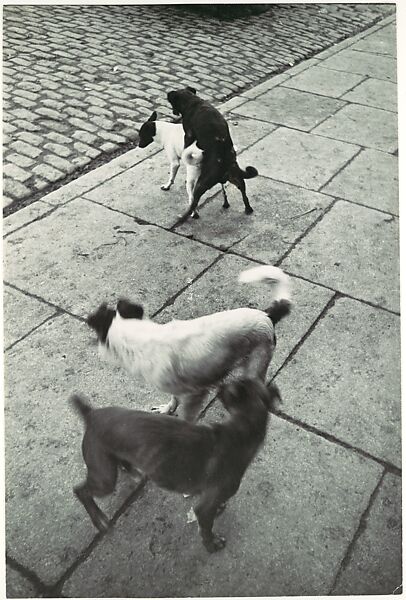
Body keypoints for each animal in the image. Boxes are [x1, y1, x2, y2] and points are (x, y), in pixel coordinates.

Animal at [71, 380, 280, 552]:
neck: (239, 431)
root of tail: (91, 414)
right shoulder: (204, 508)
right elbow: (206, 528)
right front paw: (212, 545)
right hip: (105, 478)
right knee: (81, 491)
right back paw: (99, 519)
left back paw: (133, 472)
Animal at [87, 264, 290, 424]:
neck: (137, 337)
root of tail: (267, 315)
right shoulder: (177, 388)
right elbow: (174, 399)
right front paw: (168, 410)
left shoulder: (196, 395)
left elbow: (187, 418)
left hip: (255, 367)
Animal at [167, 85, 256, 224]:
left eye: (172, 102)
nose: (173, 112)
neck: (192, 101)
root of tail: (226, 166)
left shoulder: (188, 134)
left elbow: (186, 144)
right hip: (237, 179)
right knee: (244, 195)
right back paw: (248, 209)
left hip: (201, 184)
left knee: (194, 202)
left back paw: (184, 216)